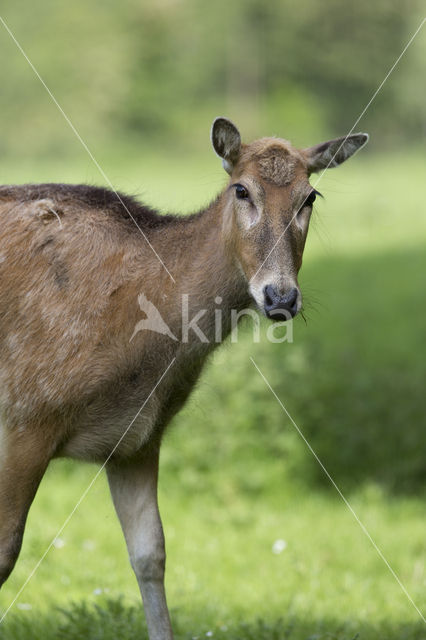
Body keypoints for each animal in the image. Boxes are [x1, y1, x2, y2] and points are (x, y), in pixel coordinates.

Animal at [0, 119, 366, 636]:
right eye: (241, 190)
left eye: (309, 196)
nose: (280, 295)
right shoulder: (27, 412)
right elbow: (6, 552)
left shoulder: (137, 437)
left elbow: (150, 554)